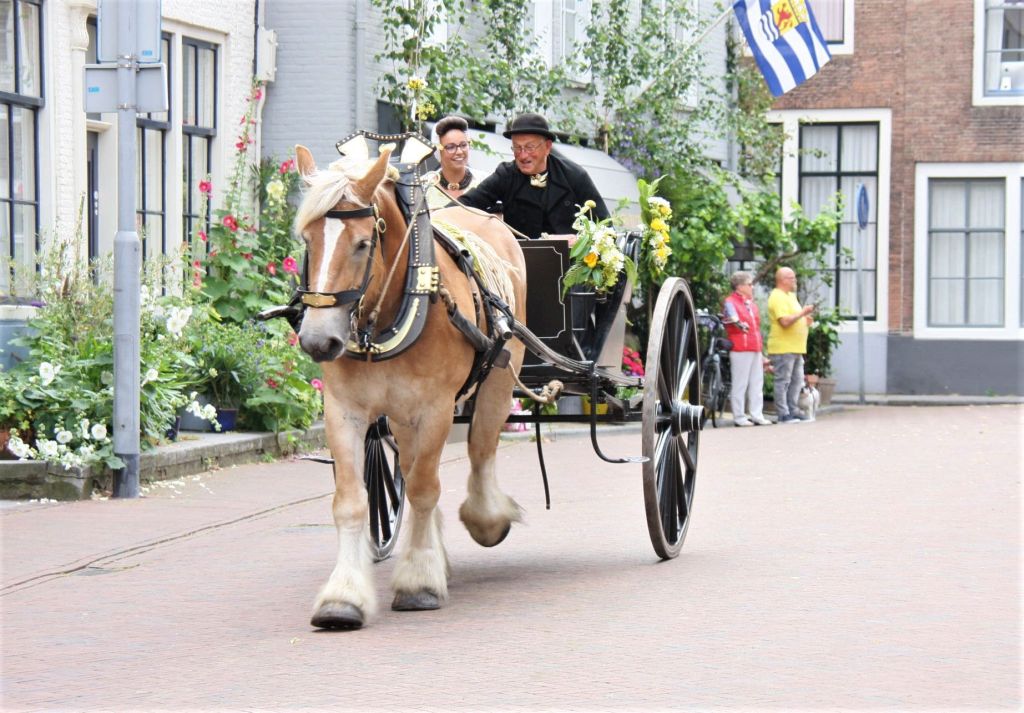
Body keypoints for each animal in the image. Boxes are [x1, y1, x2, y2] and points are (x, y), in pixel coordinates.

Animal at [290, 140, 524, 631]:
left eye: (363, 243)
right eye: (307, 239)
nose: (319, 340)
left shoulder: (434, 408)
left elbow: (422, 489)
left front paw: (418, 582)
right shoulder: (344, 410)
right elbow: (352, 500)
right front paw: (343, 598)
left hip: (498, 379)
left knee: (481, 447)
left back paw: (485, 520)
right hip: (399, 416)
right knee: (418, 465)